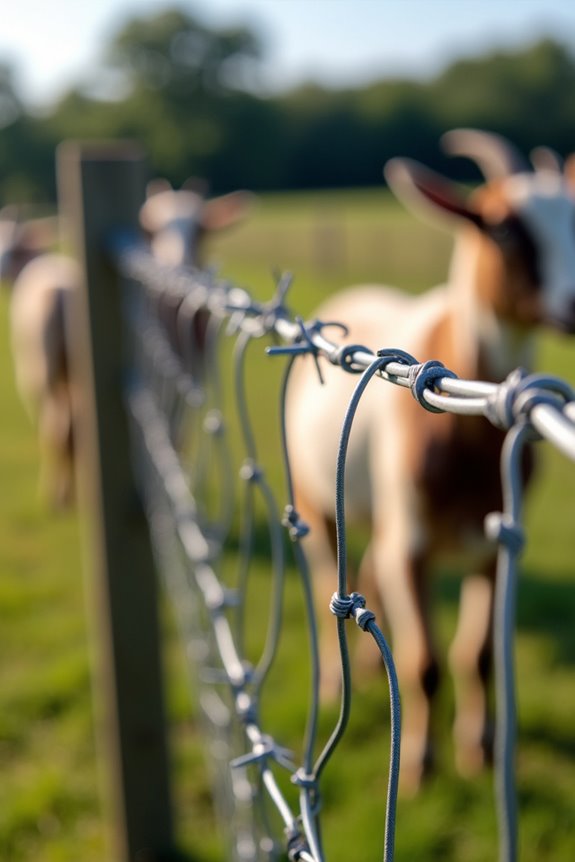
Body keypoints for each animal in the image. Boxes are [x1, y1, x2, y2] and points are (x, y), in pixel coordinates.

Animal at [5, 181, 252, 508]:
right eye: (154, 229)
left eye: (201, 229)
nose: (179, 263)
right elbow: (173, 434)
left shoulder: (185, 376)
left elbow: (176, 435)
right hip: (39, 370)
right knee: (57, 428)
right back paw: (59, 496)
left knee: (67, 427)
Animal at [286, 129, 575, 794]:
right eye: (502, 227)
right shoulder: (412, 542)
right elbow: (424, 663)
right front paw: (419, 764)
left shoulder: (491, 545)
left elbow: (478, 656)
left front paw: (480, 751)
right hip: (319, 497)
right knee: (328, 576)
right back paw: (338, 680)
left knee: (368, 572)